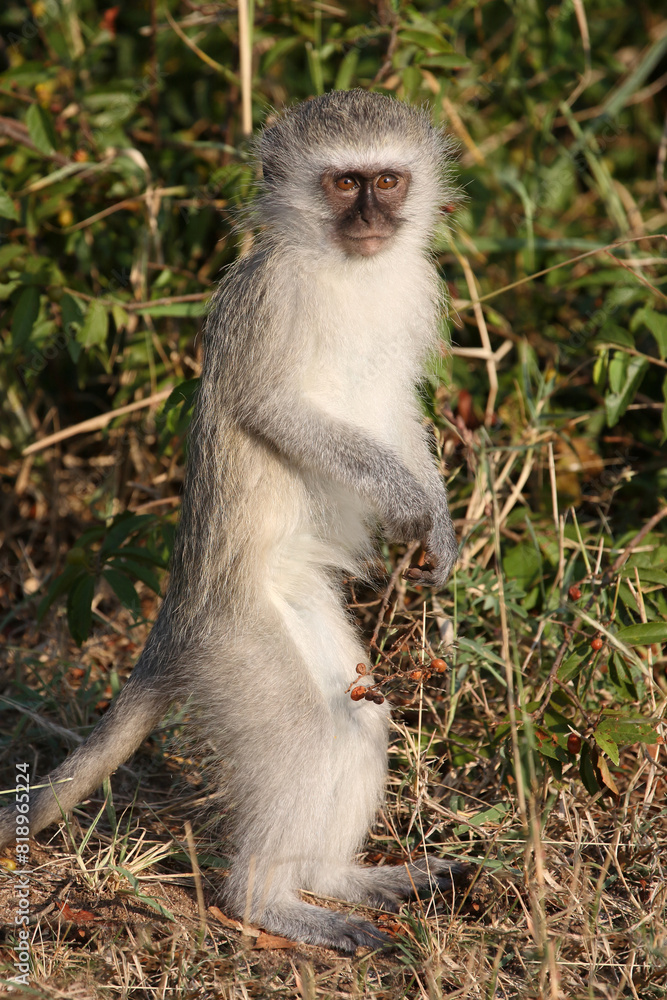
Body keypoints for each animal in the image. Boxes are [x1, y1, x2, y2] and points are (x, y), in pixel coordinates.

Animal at [0, 89, 463, 952]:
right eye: (343, 183)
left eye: (387, 178)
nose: (370, 218)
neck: (351, 271)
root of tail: (182, 606)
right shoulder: (271, 298)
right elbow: (272, 407)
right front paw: (410, 503)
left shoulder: (411, 287)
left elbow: (401, 408)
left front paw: (440, 526)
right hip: (236, 641)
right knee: (308, 730)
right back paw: (269, 901)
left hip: (302, 614)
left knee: (354, 722)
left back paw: (338, 879)